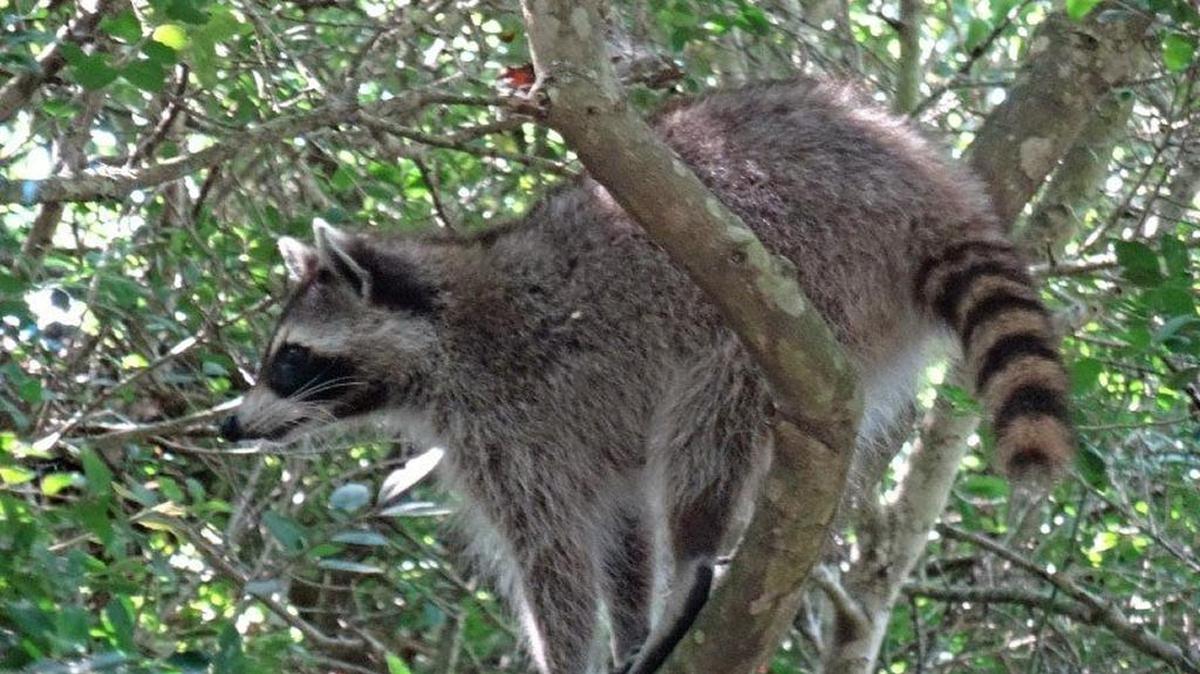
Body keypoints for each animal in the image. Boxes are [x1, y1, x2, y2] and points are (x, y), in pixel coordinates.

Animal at [221, 78, 1074, 674]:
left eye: (288, 359)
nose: (229, 423)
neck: (444, 324)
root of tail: (923, 185)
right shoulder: (569, 434)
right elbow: (620, 526)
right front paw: (628, 629)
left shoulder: (509, 422)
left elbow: (555, 560)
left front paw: (569, 655)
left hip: (799, 260)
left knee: (710, 410)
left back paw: (695, 548)